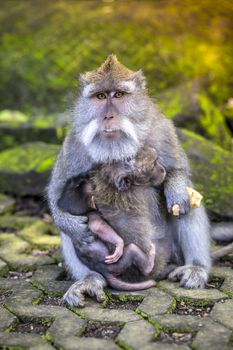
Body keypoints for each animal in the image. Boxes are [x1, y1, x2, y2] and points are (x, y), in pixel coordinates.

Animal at [59, 146, 167, 290]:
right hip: (118, 264)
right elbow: (98, 225)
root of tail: (103, 271)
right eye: (154, 163)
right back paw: (149, 260)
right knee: (133, 251)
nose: (163, 170)